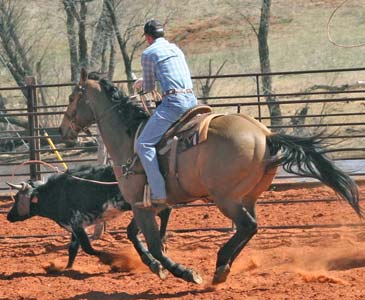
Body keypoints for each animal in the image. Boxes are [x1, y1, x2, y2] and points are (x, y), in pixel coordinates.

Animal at [58, 68, 360, 286]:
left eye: (72, 97)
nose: (63, 131)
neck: (130, 136)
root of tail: (265, 134)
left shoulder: (141, 204)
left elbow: (154, 244)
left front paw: (184, 272)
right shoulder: (148, 205)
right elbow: (136, 236)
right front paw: (155, 267)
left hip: (226, 198)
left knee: (248, 226)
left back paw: (220, 263)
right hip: (247, 196)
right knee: (250, 227)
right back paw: (224, 266)